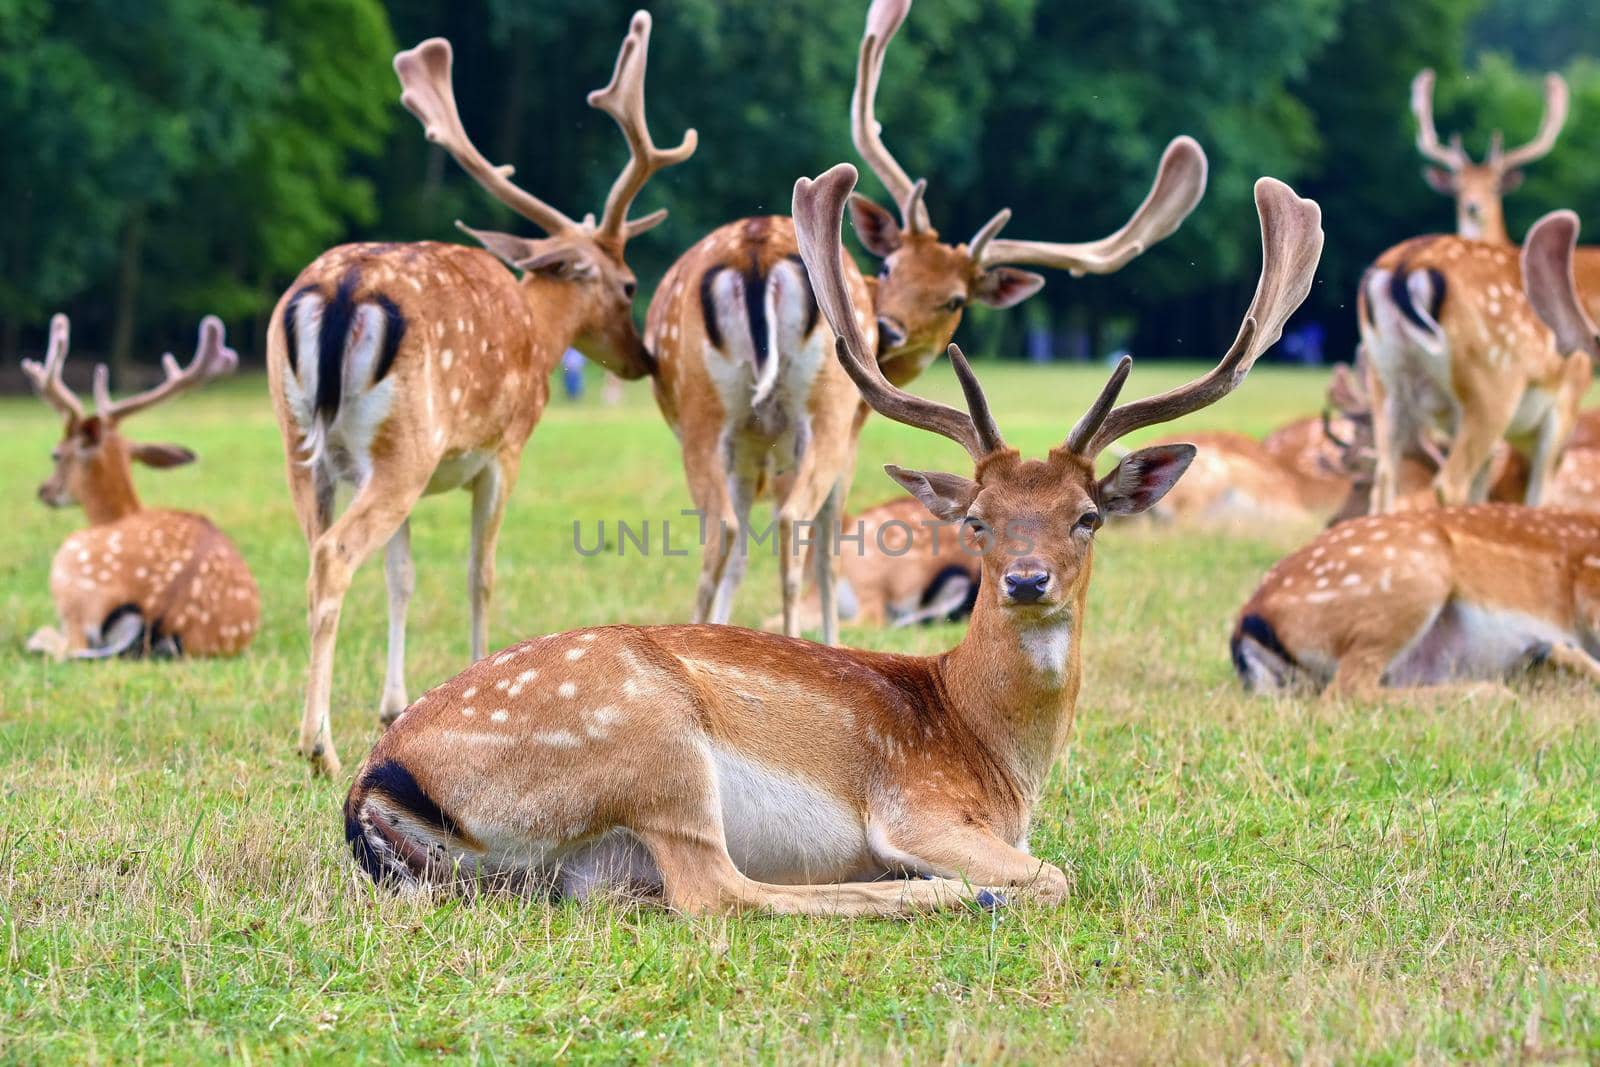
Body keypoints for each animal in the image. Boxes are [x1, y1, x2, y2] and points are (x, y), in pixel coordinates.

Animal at [21, 313, 257, 659]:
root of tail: (157, 616)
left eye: (56, 454)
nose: (44, 490)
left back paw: (37, 638)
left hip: (69, 562)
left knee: (72, 649)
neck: (119, 513)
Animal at [268, 10, 694, 777]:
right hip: (402, 445)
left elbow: (403, 576)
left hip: (312, 444)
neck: (538, 331)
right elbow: (480, 571)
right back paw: (319, 747)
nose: (643, 358)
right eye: (627, 284)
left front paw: (395, 706)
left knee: (317, 554)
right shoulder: (504, 450)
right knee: (336, 556)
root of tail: (343, 290)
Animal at [340, 164, 1324, 921]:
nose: (1026, 579)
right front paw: (973, 882)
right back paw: (945, 895)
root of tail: (377, 777)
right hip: (649, 739)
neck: (999, 760)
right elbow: (1056, 872)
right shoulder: (919, 805)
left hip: (560, 859)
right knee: (720, 892)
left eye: (1087, 515)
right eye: (977, 517)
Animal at [636, 0, 1203, 646]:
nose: (887, 329)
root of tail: (755, 253)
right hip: (814, 414)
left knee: (727, 530)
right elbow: (823, 548)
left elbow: (748, 555)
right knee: (786, 523)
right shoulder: (846, 433)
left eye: (954, 298)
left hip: (720, 416)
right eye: (890, 264)